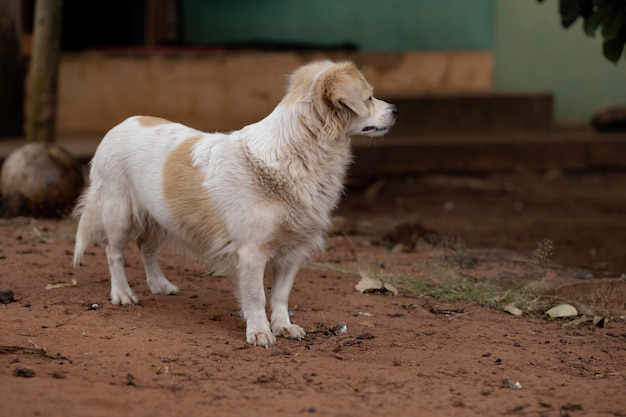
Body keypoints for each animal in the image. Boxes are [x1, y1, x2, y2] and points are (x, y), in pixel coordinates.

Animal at [73, 58, 394, 344]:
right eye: (369, 97)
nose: (396, 109)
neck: (296, 155)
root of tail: (123, 123)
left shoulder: (292, 254)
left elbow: (280, 296)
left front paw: (283, 326)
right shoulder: (251, 254)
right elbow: (256, 296)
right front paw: (259, 332)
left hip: (161, 217)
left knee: (146, 249)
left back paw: (160, 284)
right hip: (119, 214)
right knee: (114, 253)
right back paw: (122, 293)